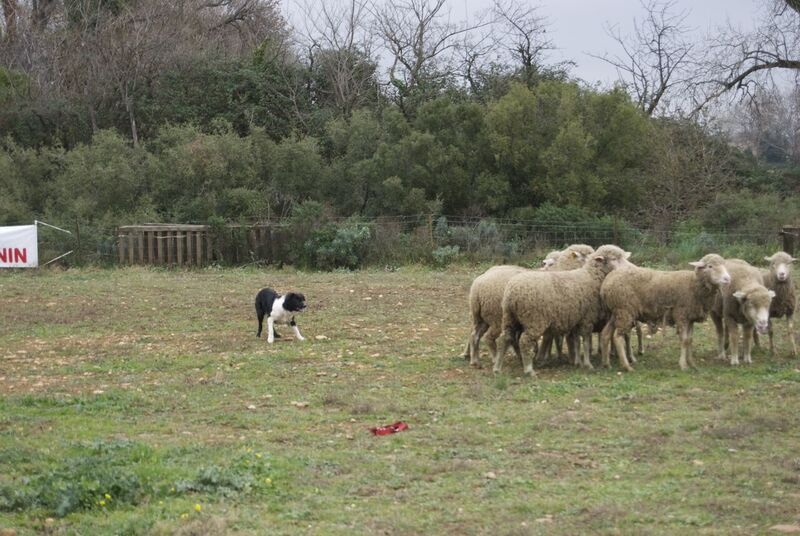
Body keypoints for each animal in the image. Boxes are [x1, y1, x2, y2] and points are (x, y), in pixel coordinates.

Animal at [494, 244, 632, 376]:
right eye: (614, 258)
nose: (630, 268)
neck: (591, 277)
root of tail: (512, 293)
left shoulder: (576, 319)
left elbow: (576, 341)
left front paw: (577, 362)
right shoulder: (587, 318)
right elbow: (586, 342)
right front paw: (587, 364)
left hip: (509, 317)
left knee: (504, 339)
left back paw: (497, 368)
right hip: (534, 320)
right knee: (524, 341)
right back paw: (529, 370)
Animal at [600, 253, 732, 370]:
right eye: (710, 266)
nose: (727, 279)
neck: (693, 285)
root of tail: (606, 283)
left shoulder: (690, 317)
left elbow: (690, 340)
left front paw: (692, 363)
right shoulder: (681, 315)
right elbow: (684, 341)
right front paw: (683, 365)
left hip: (616, 312)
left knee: (606, 334)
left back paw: (606, 364)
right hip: (625, 310)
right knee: (617, 337)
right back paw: (626, 366)